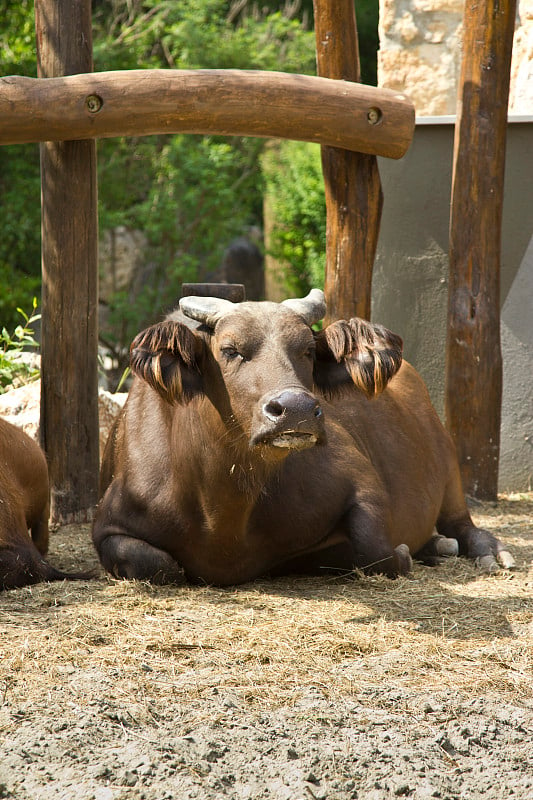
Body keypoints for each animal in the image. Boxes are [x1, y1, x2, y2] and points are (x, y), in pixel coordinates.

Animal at [91, 290, 512, 584]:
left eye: (308, 350)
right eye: (230, 349)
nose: (295, 409)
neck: (224, 509)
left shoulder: (360, 479)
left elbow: (373, 547)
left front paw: (405, 554)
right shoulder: (108, 526)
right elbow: (156, 563)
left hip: (451, 467)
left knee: (461, 522)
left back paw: (484, 549)